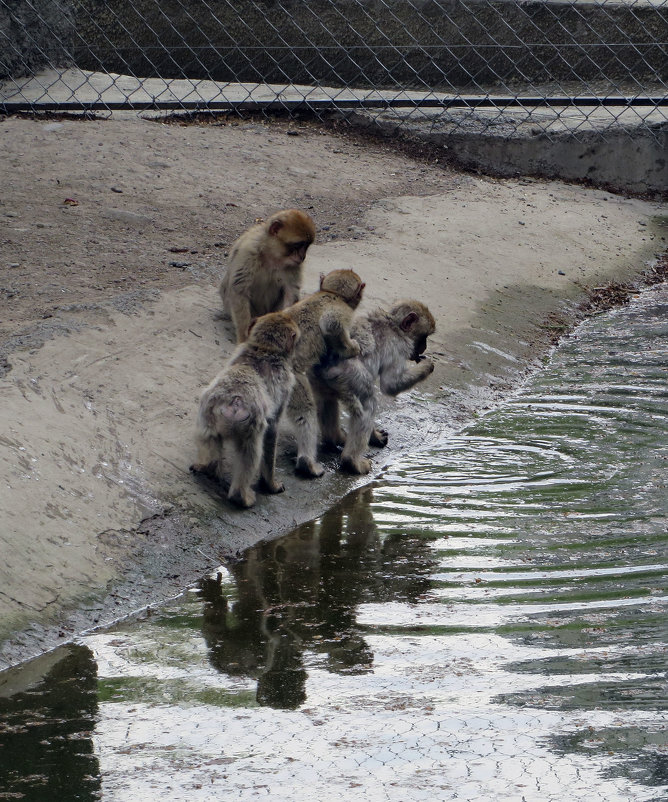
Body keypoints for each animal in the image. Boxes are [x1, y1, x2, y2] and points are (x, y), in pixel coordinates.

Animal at [190, 308, 300, 504]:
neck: (264, 349)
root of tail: (233, 402)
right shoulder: (285, 385)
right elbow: (272, 430)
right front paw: (271, 484)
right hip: (250, 423)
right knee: (250, 453)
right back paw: (241, 497)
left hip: (207, 412)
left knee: (209, 438)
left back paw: (207, 467)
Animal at [217, 208, 316, 342]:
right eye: (298, 245)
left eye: (306, 246)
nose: (302, 257)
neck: (272, 255)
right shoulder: (248, 251)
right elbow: (240, 290)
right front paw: (243, 337)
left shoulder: (294, 265)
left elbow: (291, 292)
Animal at [282, 266, 366, 478]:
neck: (331, 294)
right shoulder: (343, 310)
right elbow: (332, 326)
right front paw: (351, 348)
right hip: (292, 381)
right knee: (305, 411)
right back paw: (307, 463)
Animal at [314, 300, 436, 476]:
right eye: (423, 337)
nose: (424, 347)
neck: (394, 325)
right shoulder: (399, 346)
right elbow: (390, 384)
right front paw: (428, 365)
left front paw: (374, 436)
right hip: (348, 374)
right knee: (368, 402)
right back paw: (352, 461)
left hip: (320, 379)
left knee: (327, 399)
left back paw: (333, 438)